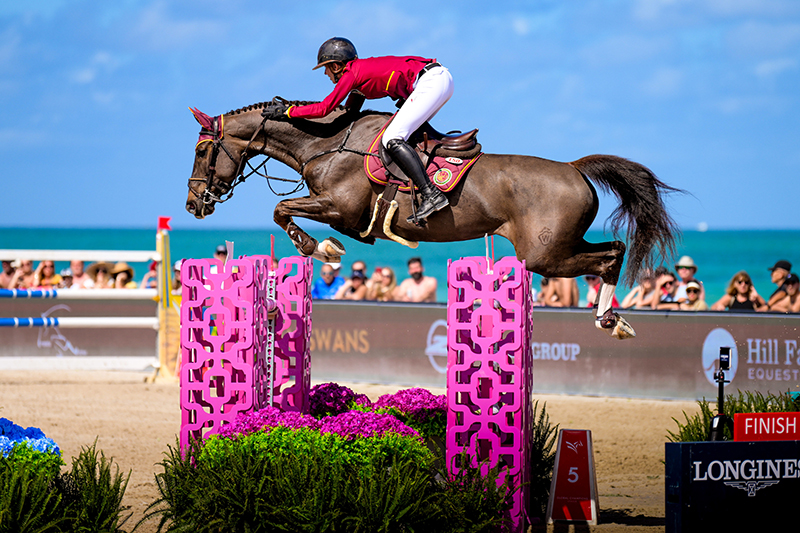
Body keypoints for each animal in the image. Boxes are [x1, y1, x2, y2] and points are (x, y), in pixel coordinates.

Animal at [188, 101, 680, 338]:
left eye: (202, 151)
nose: (195, 204)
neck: (326, 143)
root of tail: (575, 168)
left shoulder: (338, 207)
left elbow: (281, 209)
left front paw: (320, 248)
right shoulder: (339, 211)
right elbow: (285, 210)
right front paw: (323, 247)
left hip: (546, 254)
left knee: (610, 255)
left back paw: (609, 319)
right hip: (555, 250)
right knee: (613, 251)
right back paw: (612, 320)